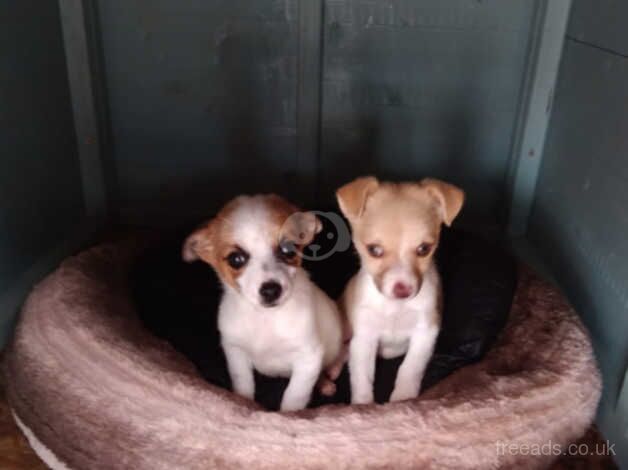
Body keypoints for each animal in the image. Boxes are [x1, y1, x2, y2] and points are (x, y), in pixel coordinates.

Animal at [182, 195, 346, 412]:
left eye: (288, 249)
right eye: (236, 259)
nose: (270, 290)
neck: (265, 318)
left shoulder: (308, 357)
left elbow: (294, 396)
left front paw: (291, 415)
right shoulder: (236, 353)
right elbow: (243, 384)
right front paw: (242, 403)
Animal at [336, 176, 464, 404]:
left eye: (424, 249)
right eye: (374, 250)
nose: (402, 290)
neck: (395, 308)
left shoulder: (425, 332)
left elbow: (409, 368)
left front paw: (403, 399)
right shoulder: (364, 338)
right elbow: (362, 376)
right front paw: (362, 405)